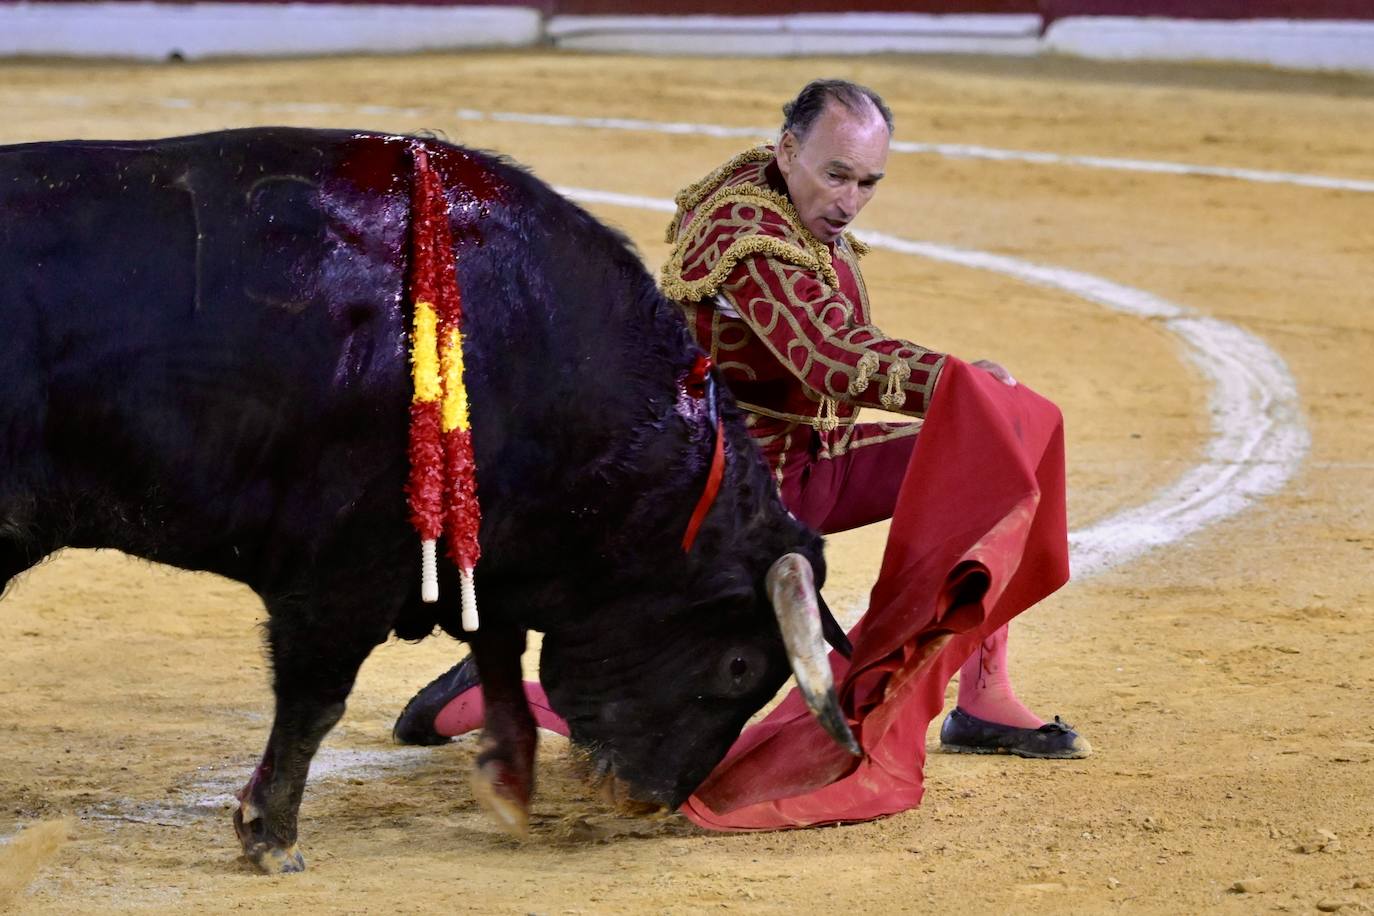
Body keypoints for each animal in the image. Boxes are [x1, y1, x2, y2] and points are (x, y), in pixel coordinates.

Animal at [2, 127, 857, 867]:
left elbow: (498, 650)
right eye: (741, 667)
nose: (646, 798)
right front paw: (271, 837)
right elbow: (317, 698)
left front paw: (508, 784)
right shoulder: (344, 574)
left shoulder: (477, 552)